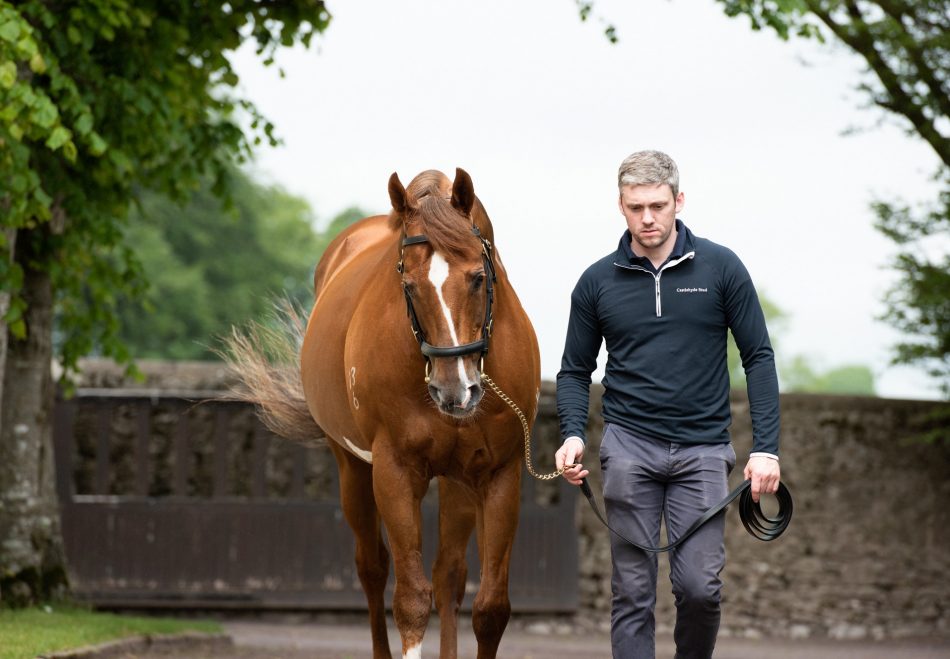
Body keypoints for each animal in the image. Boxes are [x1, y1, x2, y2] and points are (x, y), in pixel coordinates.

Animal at [221, 170, 536, 659]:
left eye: (478, 278)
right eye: (408, 286)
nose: (455, 391)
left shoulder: (498, 475)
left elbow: (489, 608)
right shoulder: (394, 471)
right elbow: (409, 600)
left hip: (457, 482)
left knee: (449, 576)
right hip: (353, 470)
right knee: (373, 569)